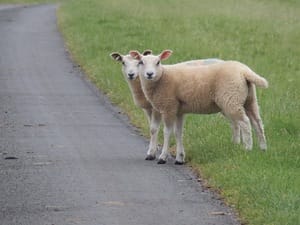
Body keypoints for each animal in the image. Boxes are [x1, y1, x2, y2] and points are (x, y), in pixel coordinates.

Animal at [130, 49, 268, 163]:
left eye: (158, 62)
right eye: (141, 62)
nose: (149, 74)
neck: (162, 77)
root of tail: (244, 71)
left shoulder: (168, 107)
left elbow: (167, 132)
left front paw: (163, 157)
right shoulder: (178, 110)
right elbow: (178, 132)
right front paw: (179, 158)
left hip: (232, 98)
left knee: (245, 123)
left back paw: (248, 148)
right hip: (249, 99)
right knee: (257, 122)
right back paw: (263, 148)